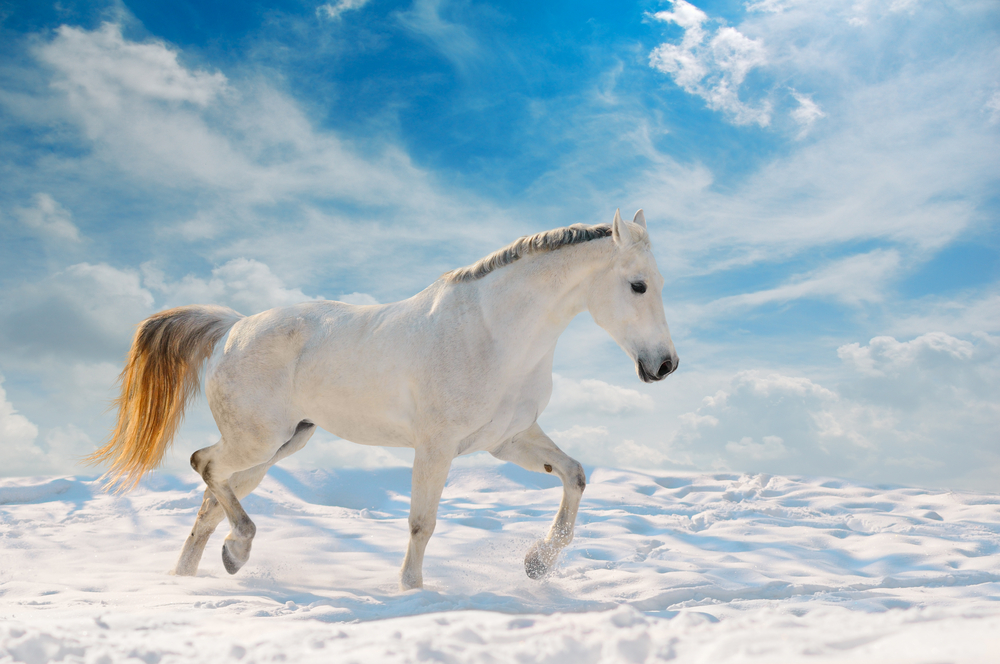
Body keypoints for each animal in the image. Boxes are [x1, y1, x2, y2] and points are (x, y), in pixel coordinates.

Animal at [94, 210, 676, 588]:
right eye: (639, 286)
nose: (665, 366)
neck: (495, 333)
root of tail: (234, 328)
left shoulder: (507, 439)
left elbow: (575, 475)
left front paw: (537, 563)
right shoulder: (436, 447)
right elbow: (422, 522)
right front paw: (412, 592)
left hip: (277, 448)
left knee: (211, 501)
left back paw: (200, 573)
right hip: (256, 442)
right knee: (204, 464)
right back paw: (238, 550)